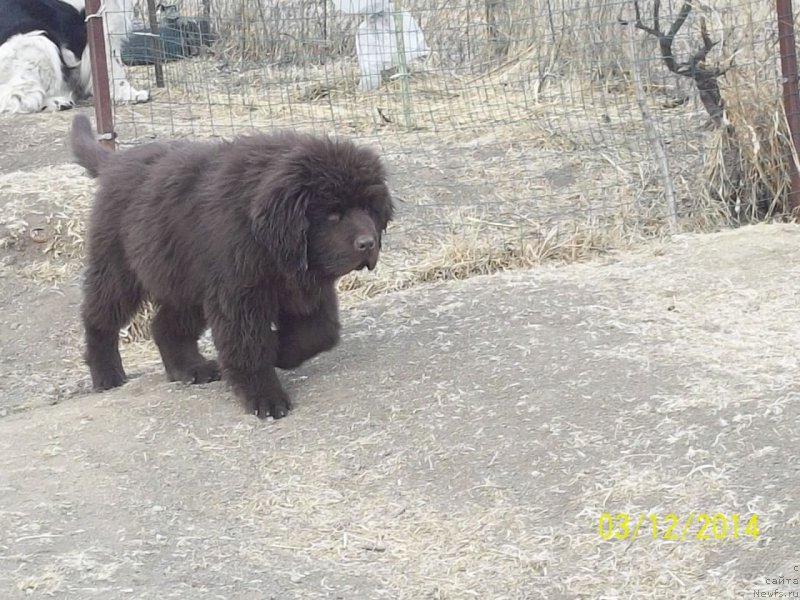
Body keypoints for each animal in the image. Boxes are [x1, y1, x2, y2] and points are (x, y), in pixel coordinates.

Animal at [70, 115, 396, 420]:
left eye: (368, 208)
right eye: (332, 214)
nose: (368, 244)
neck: (267, 239)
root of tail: (116, 161)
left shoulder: (307, 287)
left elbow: (321, 333)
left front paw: (281, 351)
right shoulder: (238, 293)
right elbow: (248, 346)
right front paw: (266, 397)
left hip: (186, 282)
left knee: (165, 325)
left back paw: (190, 368)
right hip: (118, 270)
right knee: (99, 319)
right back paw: (107, 375)